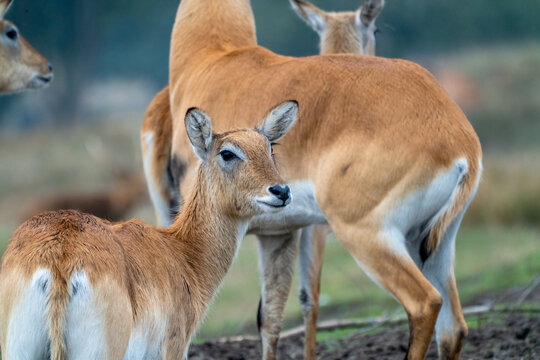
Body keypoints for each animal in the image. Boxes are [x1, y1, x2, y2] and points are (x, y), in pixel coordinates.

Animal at [0, 101, 298, 360]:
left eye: (269, 148)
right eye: (227, 152)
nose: (281, 191)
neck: (183, 252)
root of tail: (60, 259)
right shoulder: (175, 349)